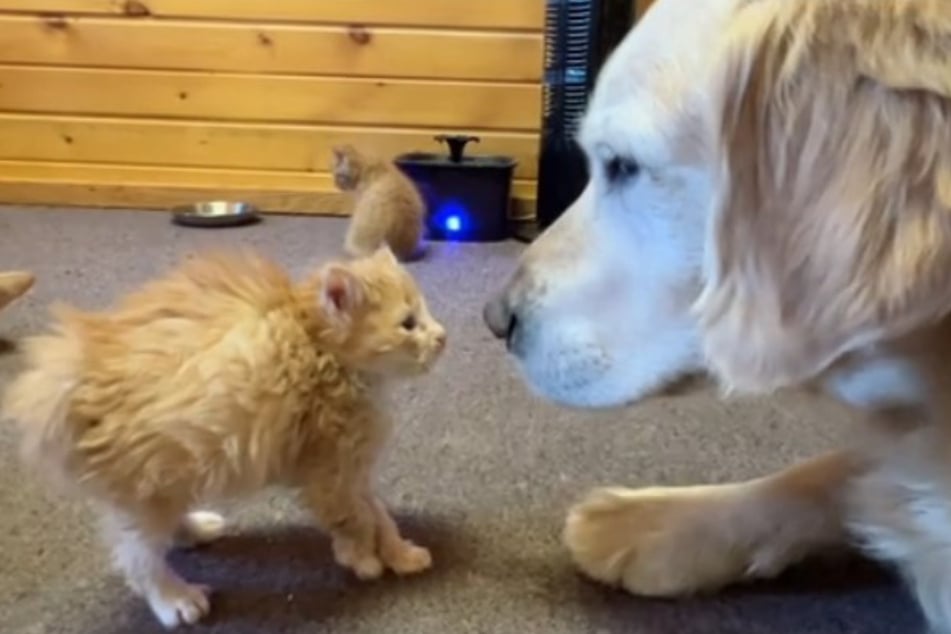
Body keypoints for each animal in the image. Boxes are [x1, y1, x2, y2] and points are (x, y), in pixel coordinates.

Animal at [1, 244, 448, 624]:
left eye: (424, 313)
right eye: (409, 324)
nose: (442, 337)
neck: (319, 349)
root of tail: (71, 374)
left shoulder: (352, 466)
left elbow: (379, 514)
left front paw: (401, 553)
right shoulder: (326, 469)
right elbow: (354, 516)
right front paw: (361, 558)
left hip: (165, 477)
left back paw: (193, 530)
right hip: (150, 482)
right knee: (136, 557)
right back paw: (175, 599)